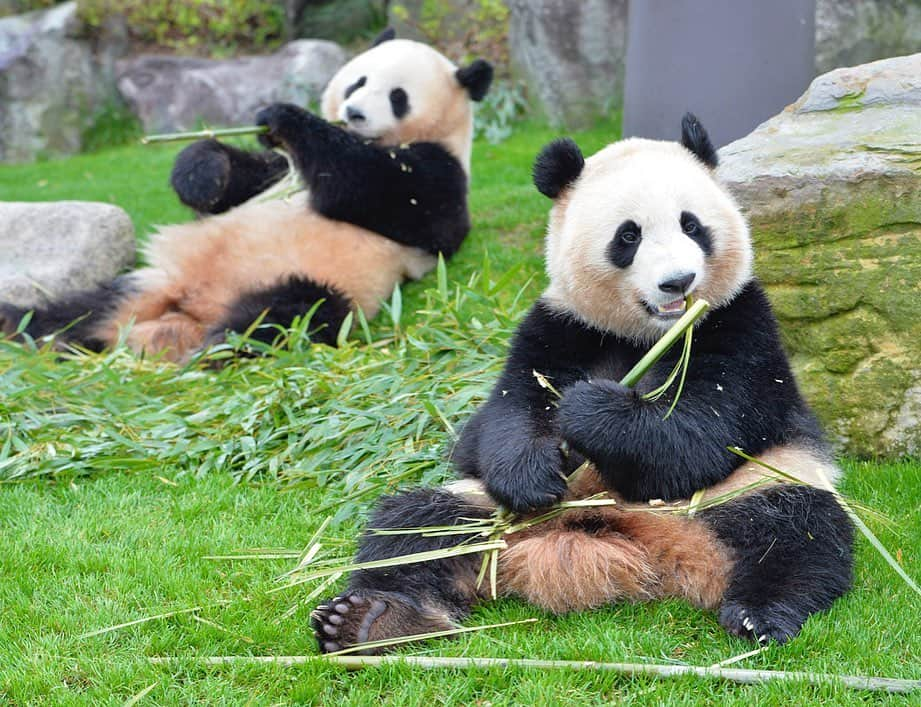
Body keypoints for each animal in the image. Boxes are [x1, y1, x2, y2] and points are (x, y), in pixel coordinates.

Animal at [0, 28, 492, 362]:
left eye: (397, 96)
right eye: (359, 81)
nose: (353, 113)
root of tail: (188, 315)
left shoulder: (442, 176)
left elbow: (384, 192)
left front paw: (285, 116)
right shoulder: (277, 170)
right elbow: (237, 180)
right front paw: (205, 171)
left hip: (312, 279)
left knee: (287, 312)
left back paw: (217, 347)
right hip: (148, 282)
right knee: (83, 310)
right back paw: (21, 324)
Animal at [310, 115, 856, 652]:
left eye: (692, 225)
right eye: (629, 236)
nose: (678, 281)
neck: (646, 332)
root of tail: (646, 547)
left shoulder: (739, 322)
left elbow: (701, 432)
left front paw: (589, 410)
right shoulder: (560, 326)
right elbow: (508, 415)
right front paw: (533, 469)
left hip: (756, 483)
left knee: (797, 534)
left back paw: (759, 615)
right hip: (482, 507)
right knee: (414, 528)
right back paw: (371, 620)